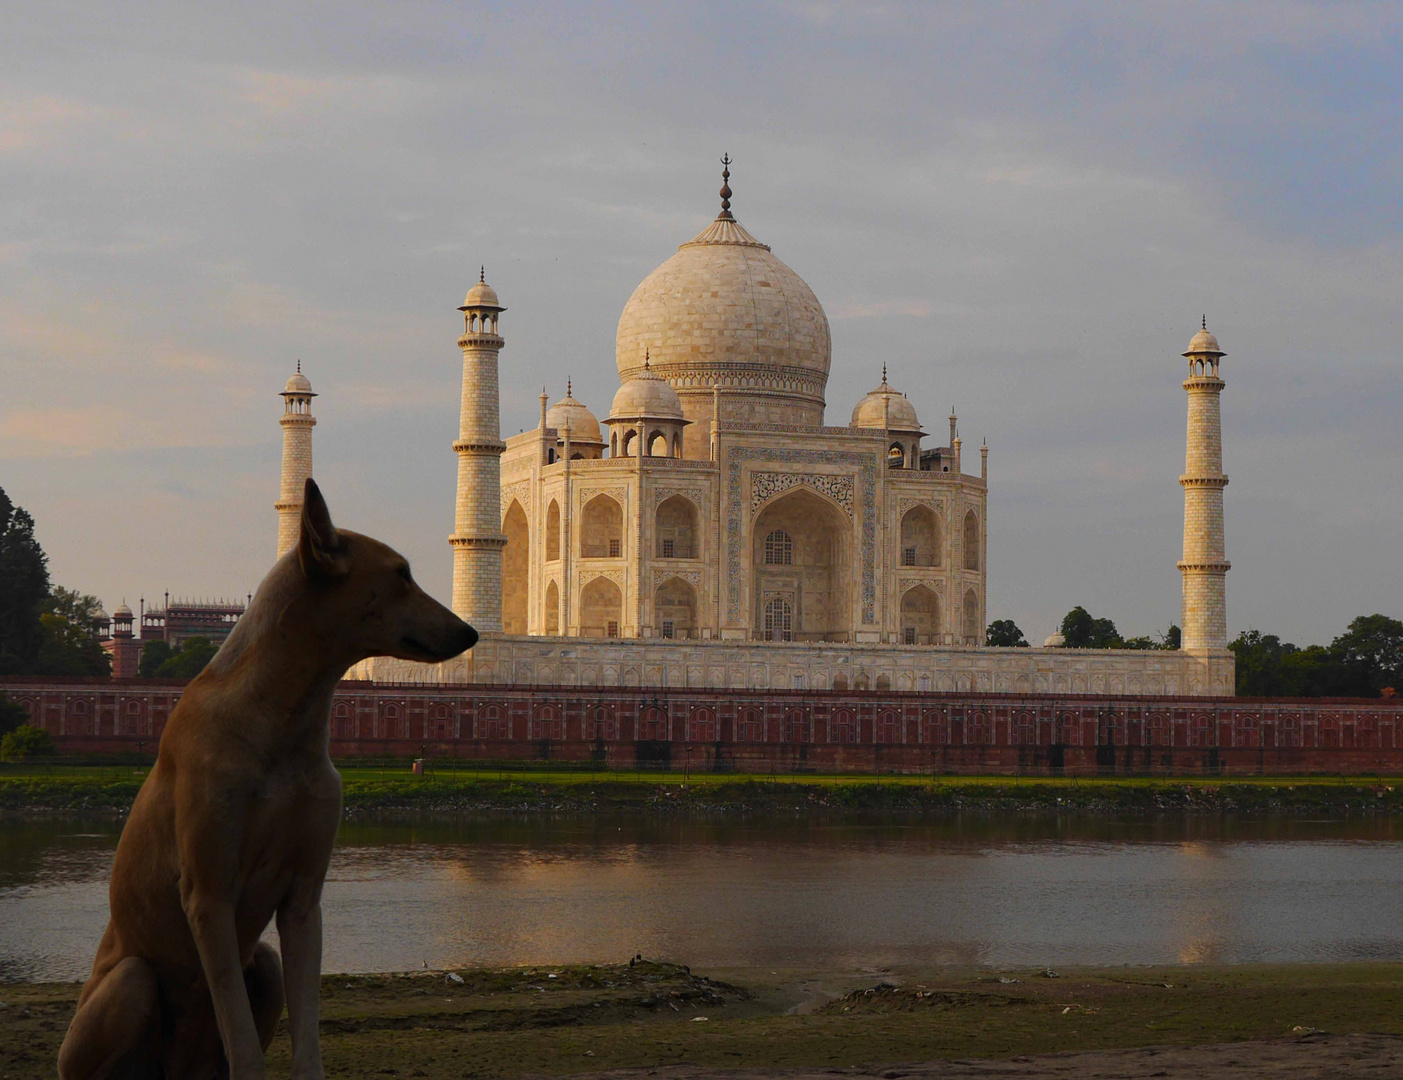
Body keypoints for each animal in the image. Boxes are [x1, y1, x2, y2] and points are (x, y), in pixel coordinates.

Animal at [58, 482, 477, 1077]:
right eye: (401, 573)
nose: (471, 630)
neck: (282, 722)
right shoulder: (208, 897)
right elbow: (245, 1047)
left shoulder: (304, 899)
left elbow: (307, 1040)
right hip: (125, 989)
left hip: (260, 967)